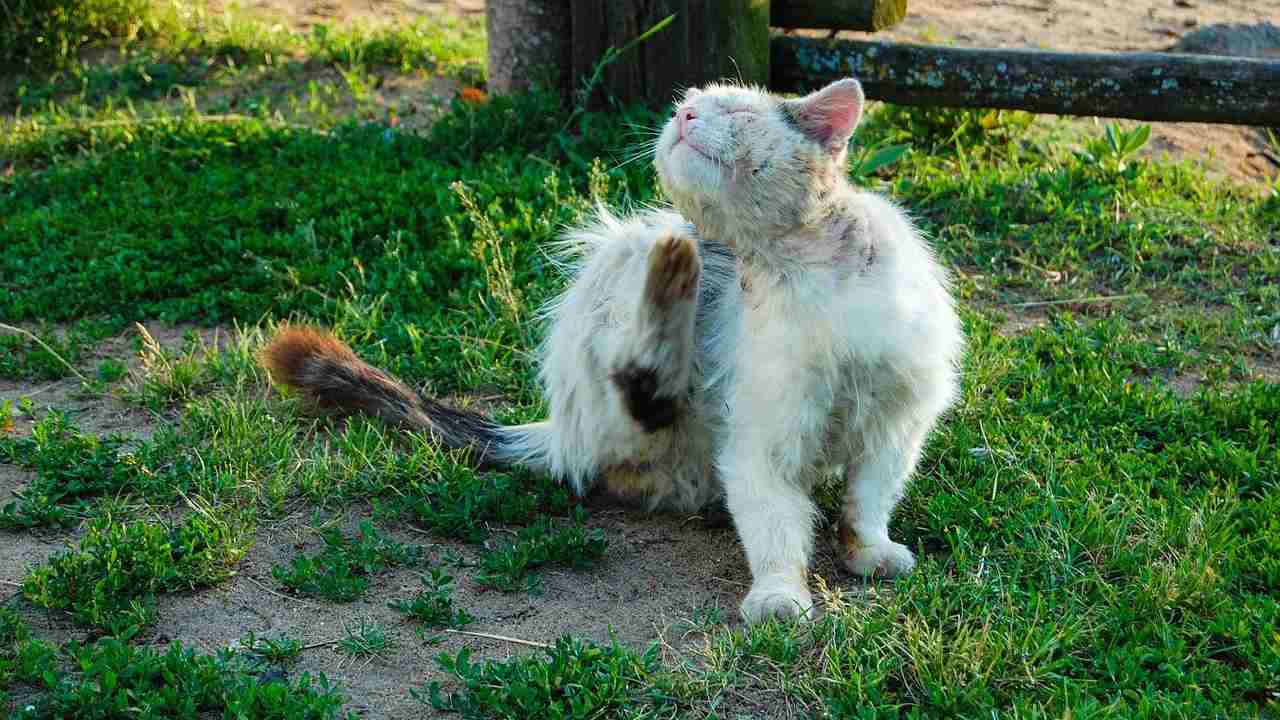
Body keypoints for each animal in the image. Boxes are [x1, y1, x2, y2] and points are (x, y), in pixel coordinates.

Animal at [259, 75, 962, 620]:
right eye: (688, 105)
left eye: (733, 112)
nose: (682, 116)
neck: (801, 271)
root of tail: (558, 429)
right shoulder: (761, 441)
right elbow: (774, 525)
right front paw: (779, 595)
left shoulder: (897, 423)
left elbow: (868, 498)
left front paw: (869, 551)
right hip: (622, 258)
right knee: (636, 389)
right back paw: (672, 281)